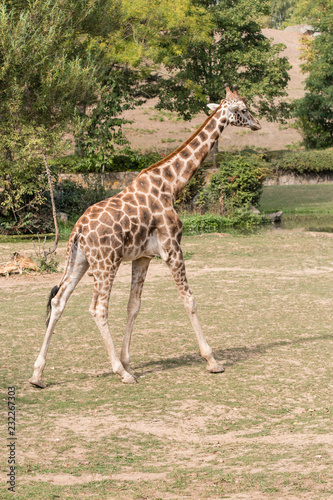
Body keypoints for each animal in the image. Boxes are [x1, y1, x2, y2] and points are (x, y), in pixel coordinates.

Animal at [29, 83, 260, 386]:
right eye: (243, 109)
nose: (257, 124)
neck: (172, 185)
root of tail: (77, 230)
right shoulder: (173, 249)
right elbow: (189, 300)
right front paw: (212, 361)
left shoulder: (144, 257)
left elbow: (134, 305)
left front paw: (129, 359)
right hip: (106, 263)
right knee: (98, 308)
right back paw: (120, 372)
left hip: (80, 261)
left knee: (59, 301)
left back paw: (37, 374)